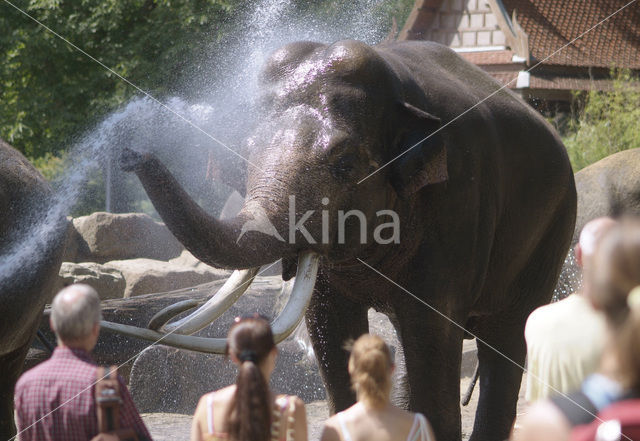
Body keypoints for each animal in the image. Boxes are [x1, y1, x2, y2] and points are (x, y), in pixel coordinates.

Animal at [112, 41, 576, 440]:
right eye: (244, 152)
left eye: (345, 162)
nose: (130, 153)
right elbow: (329, 327)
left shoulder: (458, 206)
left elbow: (432, 330)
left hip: (552, 232)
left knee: (504, 341)